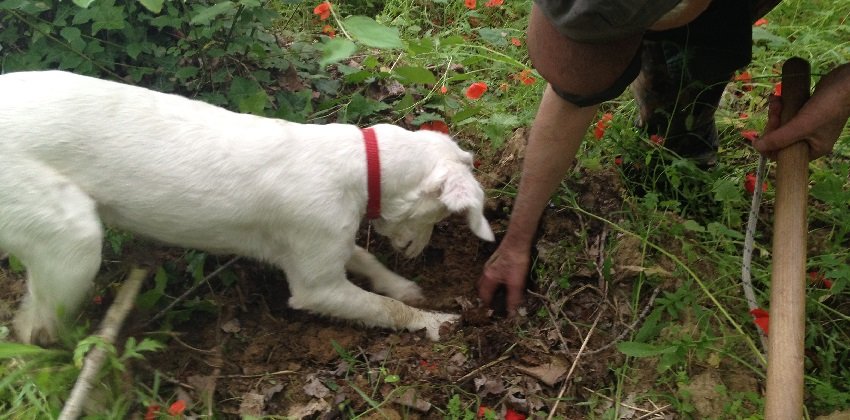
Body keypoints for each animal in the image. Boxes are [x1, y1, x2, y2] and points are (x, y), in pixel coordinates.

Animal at [0, 69, 490, 344]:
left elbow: (365, 259)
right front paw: (432, 320)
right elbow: (384, 309)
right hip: (72, 239)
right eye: (443, 216)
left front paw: (401, 284)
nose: (420, 252)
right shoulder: (317, 285)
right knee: (33, 326)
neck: (362, 164)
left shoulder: (321, 244)